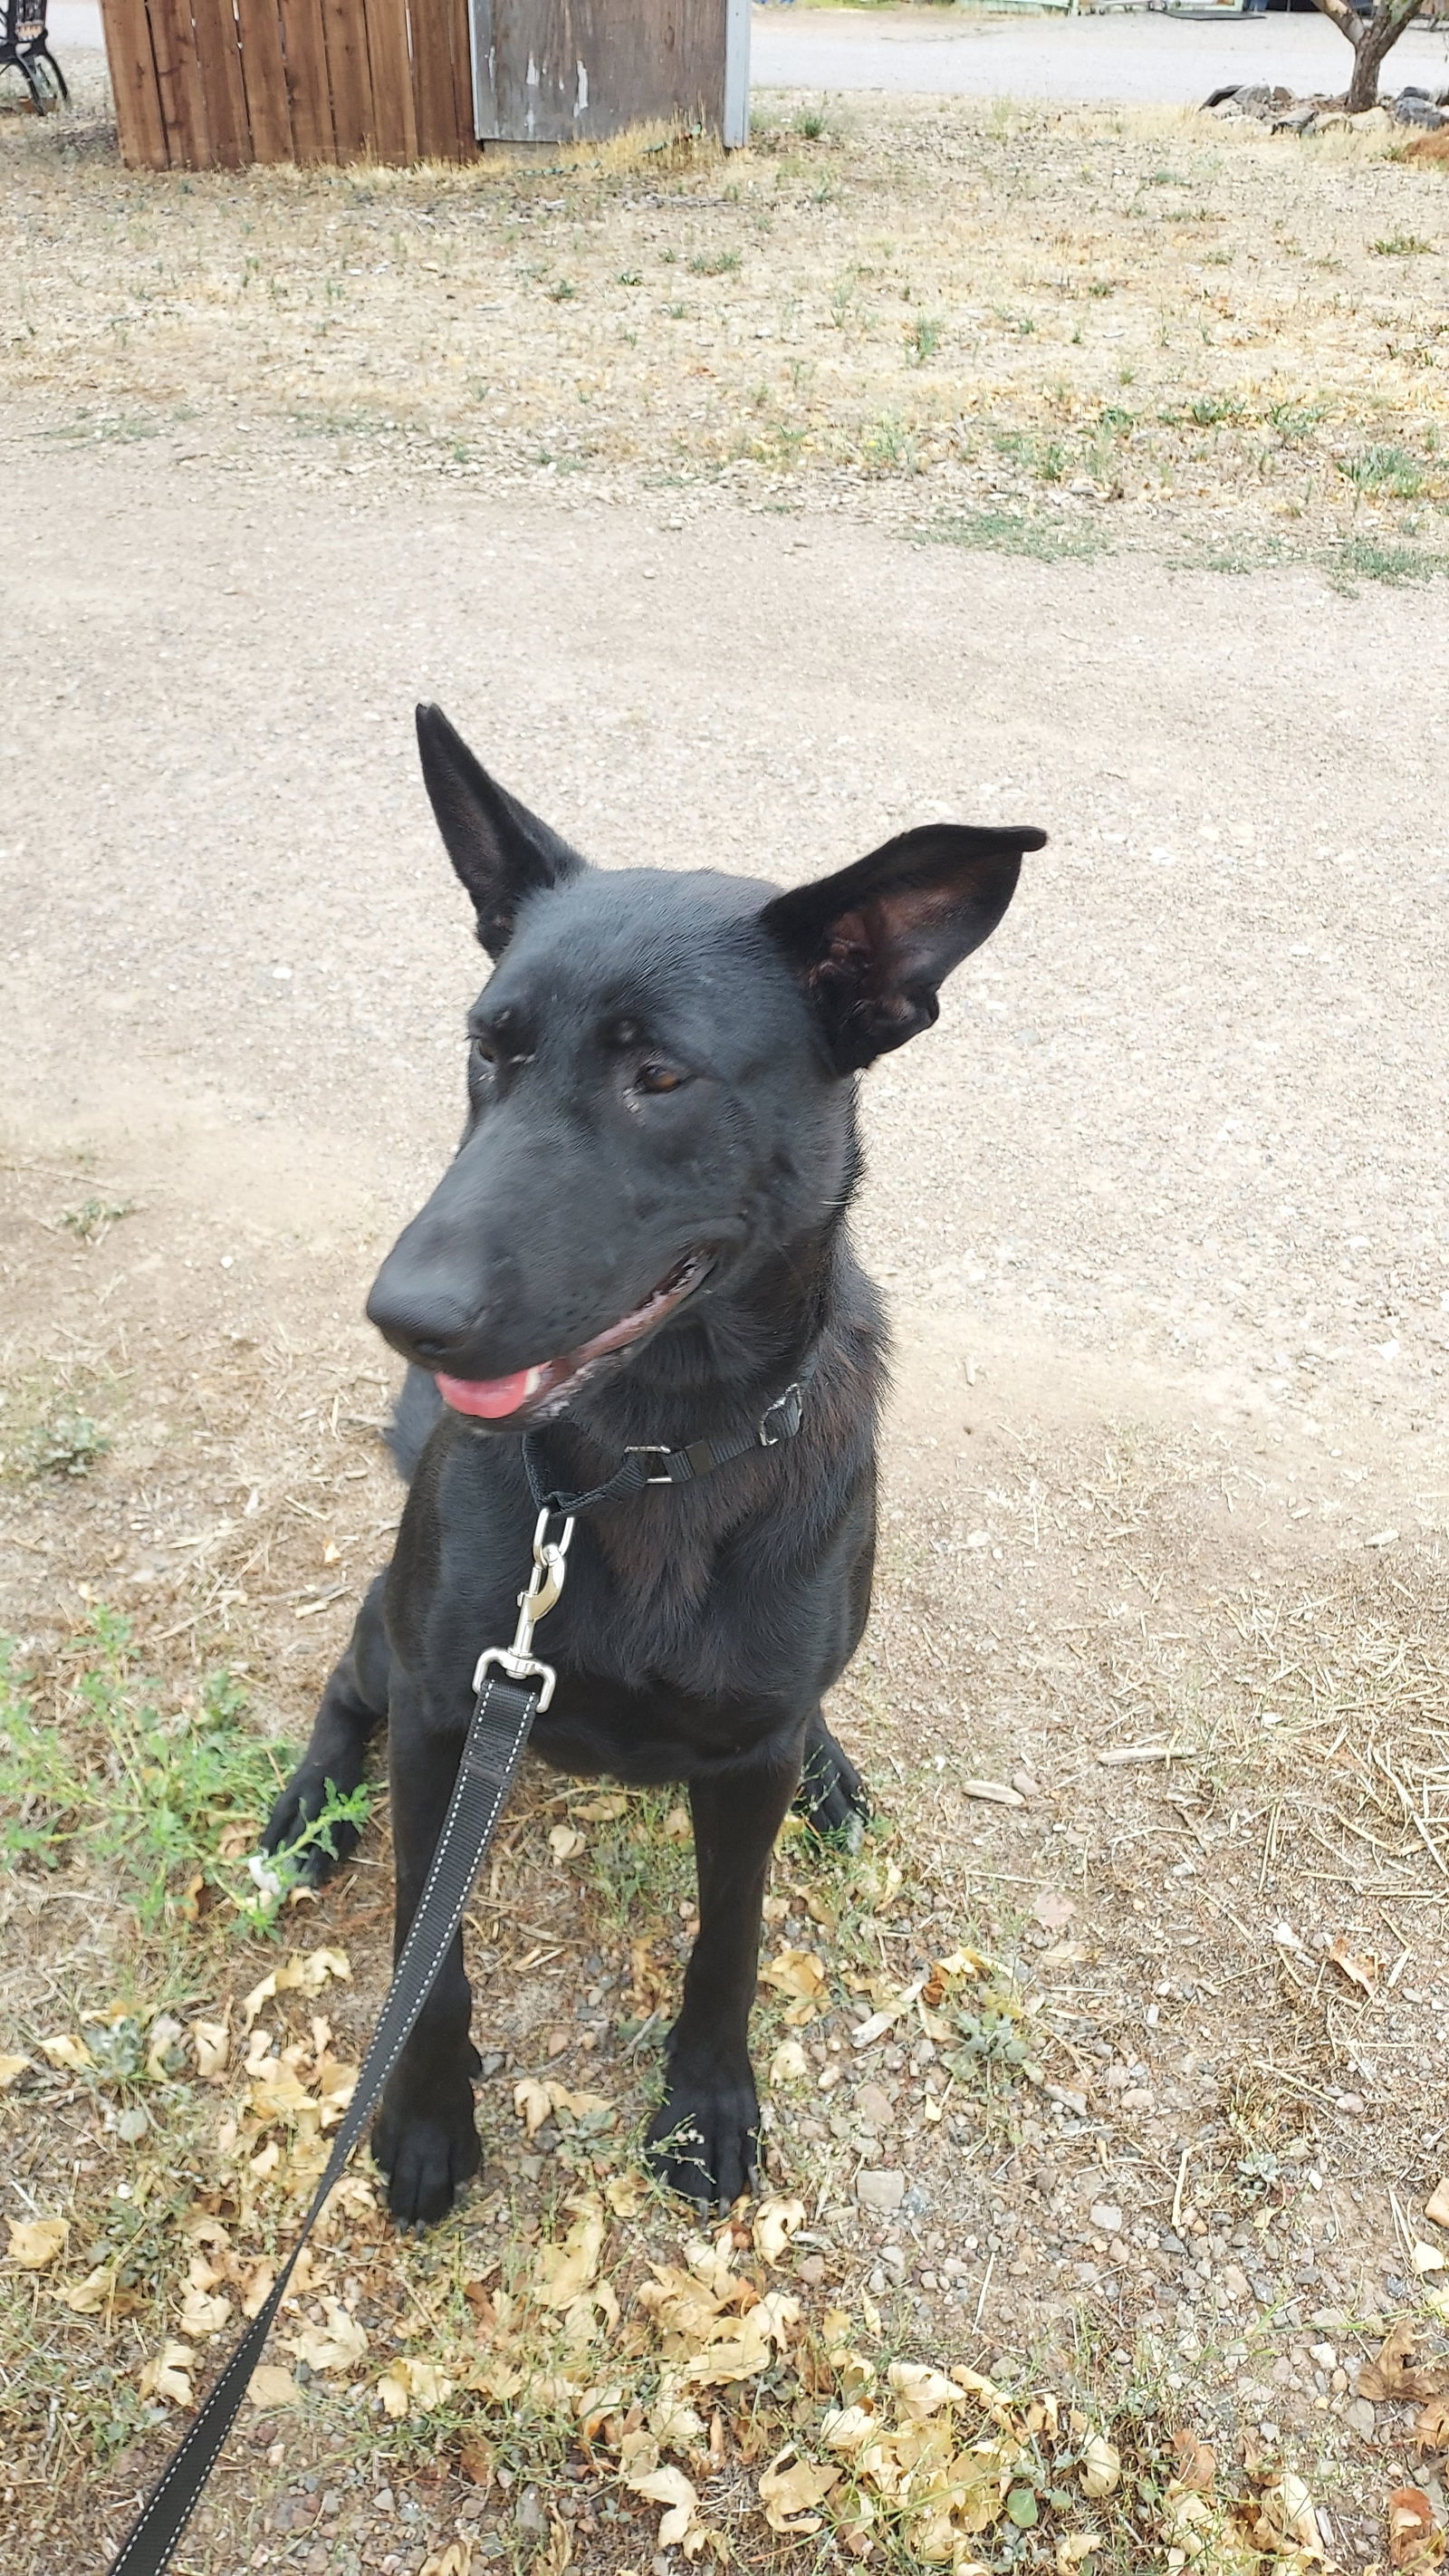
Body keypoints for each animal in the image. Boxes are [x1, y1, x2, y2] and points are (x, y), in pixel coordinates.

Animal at [264, 710, 1044, 2235]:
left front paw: (706, 2104)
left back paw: (835, 1771)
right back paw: (305, 1814)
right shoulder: (446, 1712)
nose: (403, 1313)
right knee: (343, 1683)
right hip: (390, 1641)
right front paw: (424, 2117)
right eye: (488, 1049)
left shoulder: (744, 1757)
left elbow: (727, 1942)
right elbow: (426, 1952)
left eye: (660, 1076)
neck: (644, 1461)